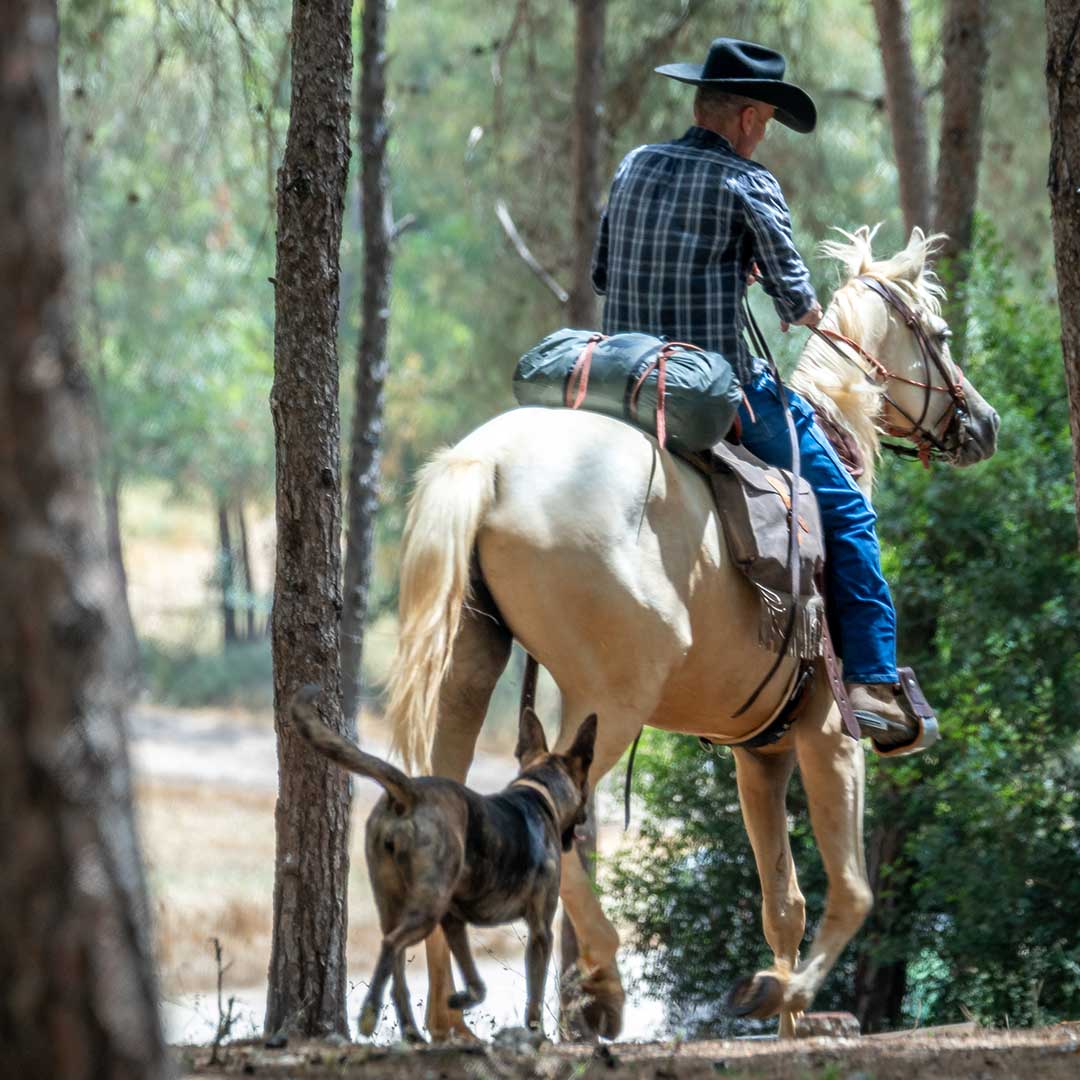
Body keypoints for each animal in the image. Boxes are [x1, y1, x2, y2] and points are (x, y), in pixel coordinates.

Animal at [289, 686, 600, 1041]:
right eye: (585, 785)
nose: (585, 817)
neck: (540, 792)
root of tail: (409, 792)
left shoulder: (454, 921)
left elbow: (477, 984)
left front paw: (459, 1000)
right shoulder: (540, 931)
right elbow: (534, 997)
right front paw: (536, 1035)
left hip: (395, 903)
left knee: (396, 970)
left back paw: (411, 1032)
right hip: (427, 909)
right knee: (391, 944)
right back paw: (369, 1015)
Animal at [384, 225, 997, 1036]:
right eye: (941, 334)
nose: (984, 424)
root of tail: (489, 462)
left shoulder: (760, 753)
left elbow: (783, 904)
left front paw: (787, 1021)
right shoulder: (829, 732)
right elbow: (853, 891)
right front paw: (787, 997)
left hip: (468, 676)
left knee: (449, 803)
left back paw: (448, 1023)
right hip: (609, 702)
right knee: (550, 811)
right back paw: (604, 985)